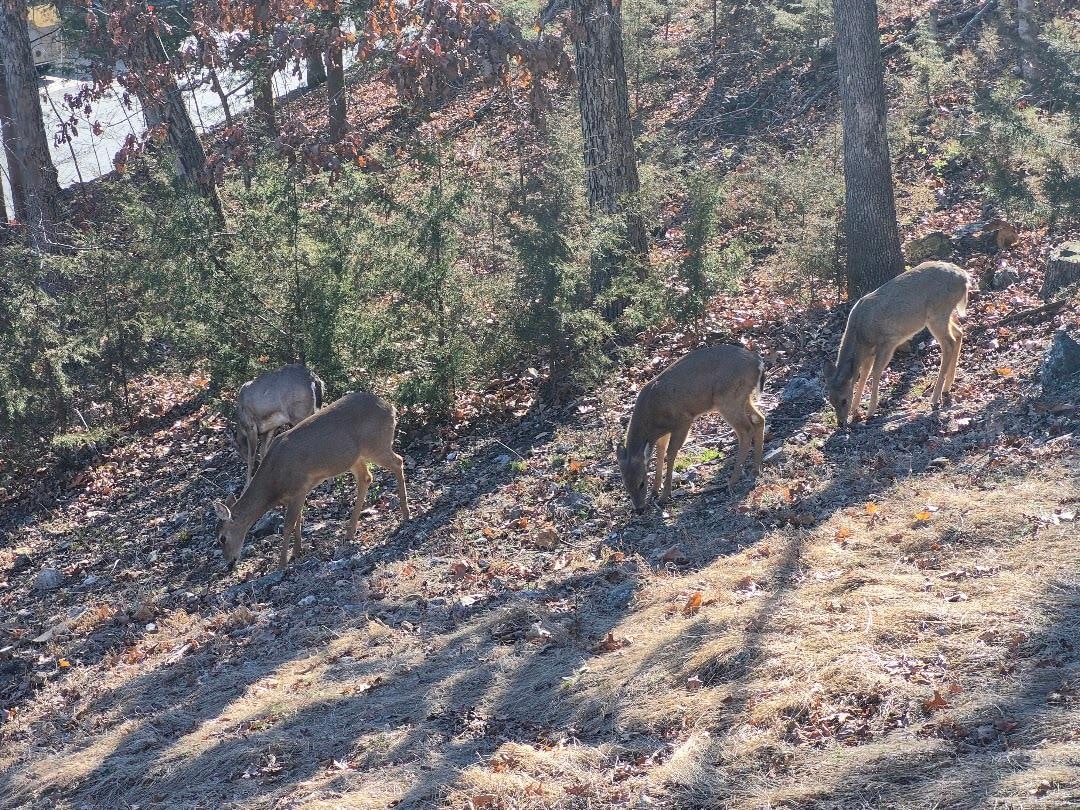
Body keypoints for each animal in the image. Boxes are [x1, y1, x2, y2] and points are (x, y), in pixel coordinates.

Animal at [212, 391, 410, 571]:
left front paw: (281, 564)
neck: (274, 484)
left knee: (398, 461)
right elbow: (298, 521)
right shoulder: (296, 494)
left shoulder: (299, 488)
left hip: (376, 444)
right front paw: (297, 552)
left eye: (222, 538)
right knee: (366, 477)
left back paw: (406, 513)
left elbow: (288, 525)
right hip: (353, 458)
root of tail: (391, 408)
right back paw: (349, 532)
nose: (229, 563)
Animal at [616, 344, 766, 512]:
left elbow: (671, 453)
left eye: (641, 483)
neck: (652, 418)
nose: (639, 509)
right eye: (625, 485)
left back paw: (732, 481)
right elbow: (660, 453)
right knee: (760, 419)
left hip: (727, 399)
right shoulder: (663, 433)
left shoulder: (683, 420)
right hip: (742, 398)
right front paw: (655, 491)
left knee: (746, 430)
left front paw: (664, 496)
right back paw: (755, 468)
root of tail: (758, 362)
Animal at [824, 260, 969, 427]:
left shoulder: (888, 341)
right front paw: (855, 409)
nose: (841, 423)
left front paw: (870, 411)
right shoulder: (869, 351)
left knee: (949, 343)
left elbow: (876, 372)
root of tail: (964, 278)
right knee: (959, 333)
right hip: (944, 314)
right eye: (831, 400)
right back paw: (947, 387)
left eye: (843, 400)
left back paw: (934, 398)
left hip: (937, 313)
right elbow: (864, 374)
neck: (861, 335)